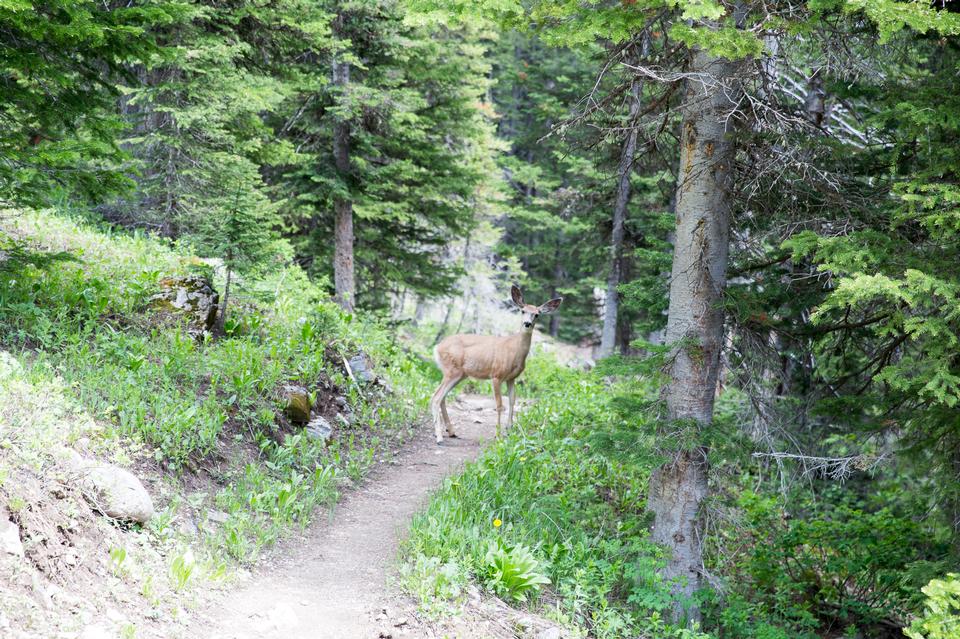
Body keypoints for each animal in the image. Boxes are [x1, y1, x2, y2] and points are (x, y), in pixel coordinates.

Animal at [430, 284, 564, 444]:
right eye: (522, 311)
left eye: (537, 314)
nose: (527, 323)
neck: (514, 351)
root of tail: (437, 347)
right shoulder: (496, 375)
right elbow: (500, 405)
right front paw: (498, 435)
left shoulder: (512, 378)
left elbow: (512, 401)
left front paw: (510, 430)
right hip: (452, 370)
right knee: (436, 397)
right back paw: (439, 437)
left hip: (460, 374)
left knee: (442, 397)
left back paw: (451, 431)